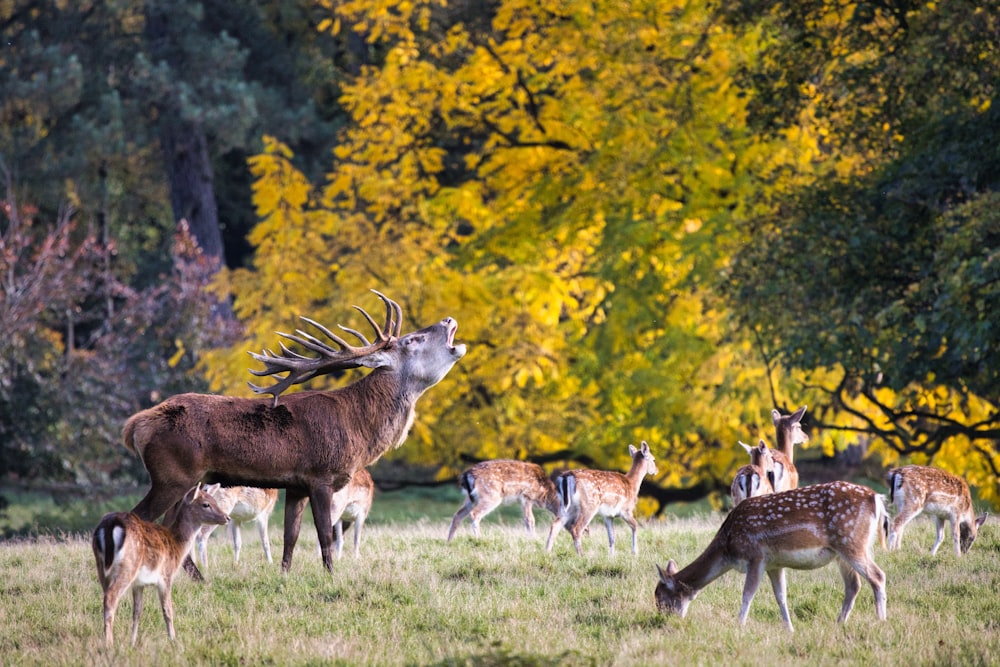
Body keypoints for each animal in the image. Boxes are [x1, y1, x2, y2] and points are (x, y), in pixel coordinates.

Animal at [92, 486, 229, 648]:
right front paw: (173, 639)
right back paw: (109, 644)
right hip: (128, 565)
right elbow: (168, 609)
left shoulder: (139, 583)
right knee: (111, 597)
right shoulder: (166, 575)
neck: (177, 545)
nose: (227, 517)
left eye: (215, 500)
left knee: (106, 596)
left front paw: (132, 642)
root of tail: (111, 524)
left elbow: (137, 611)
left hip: (101, 566)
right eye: (206, 504)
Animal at [122, 290, 464, 576]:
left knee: (171, 524)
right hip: (172, 475)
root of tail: (135, 425)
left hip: (187, 480)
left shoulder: (296, 484)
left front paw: (284, 574)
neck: (358, 426)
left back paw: (194, 578)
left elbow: (291, 535)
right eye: (412, 340)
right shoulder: (321, 474)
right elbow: (324, 533)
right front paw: (331, 575)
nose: (448, 319)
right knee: (139, 516)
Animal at [656, 480, 892, 632]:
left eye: (661, 598)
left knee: (878, 576)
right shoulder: (774, 564)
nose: (665, 621)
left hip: (852, 542)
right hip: (842, 552)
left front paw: (739, 626)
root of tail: (876, 498)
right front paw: (789, 629)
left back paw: (881, 621)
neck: (728, 546)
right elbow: (781, 596)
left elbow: (748, 593)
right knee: (854, 585)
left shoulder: (756, 556)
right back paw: (839, 624)